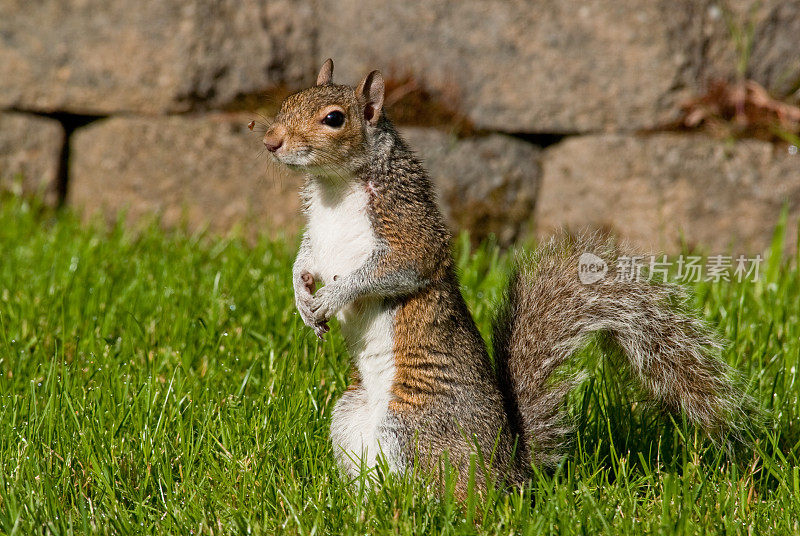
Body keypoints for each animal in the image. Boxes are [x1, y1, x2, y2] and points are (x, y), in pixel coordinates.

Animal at [260, 59, 752, 498]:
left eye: (334, 119)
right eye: (289, 100)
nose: (270, 140)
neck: (335, 186)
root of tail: (511, 472)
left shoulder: (408, 229)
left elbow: (397, 268)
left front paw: (332, 297)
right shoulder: (318, 238)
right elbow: (304, 262)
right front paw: (301, 299)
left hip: (414, 427)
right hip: (350, 415)